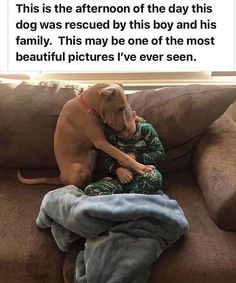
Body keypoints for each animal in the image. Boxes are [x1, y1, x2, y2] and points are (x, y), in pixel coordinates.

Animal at [17, 84, 152, 189]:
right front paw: (142, 168)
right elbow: (123, 155)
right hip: (79, 169)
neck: (88, 105)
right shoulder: (100, 141)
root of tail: (61, 178)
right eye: (120, 108)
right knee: (78, 185)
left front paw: (138, 118)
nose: (124, 128)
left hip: (93, 154)